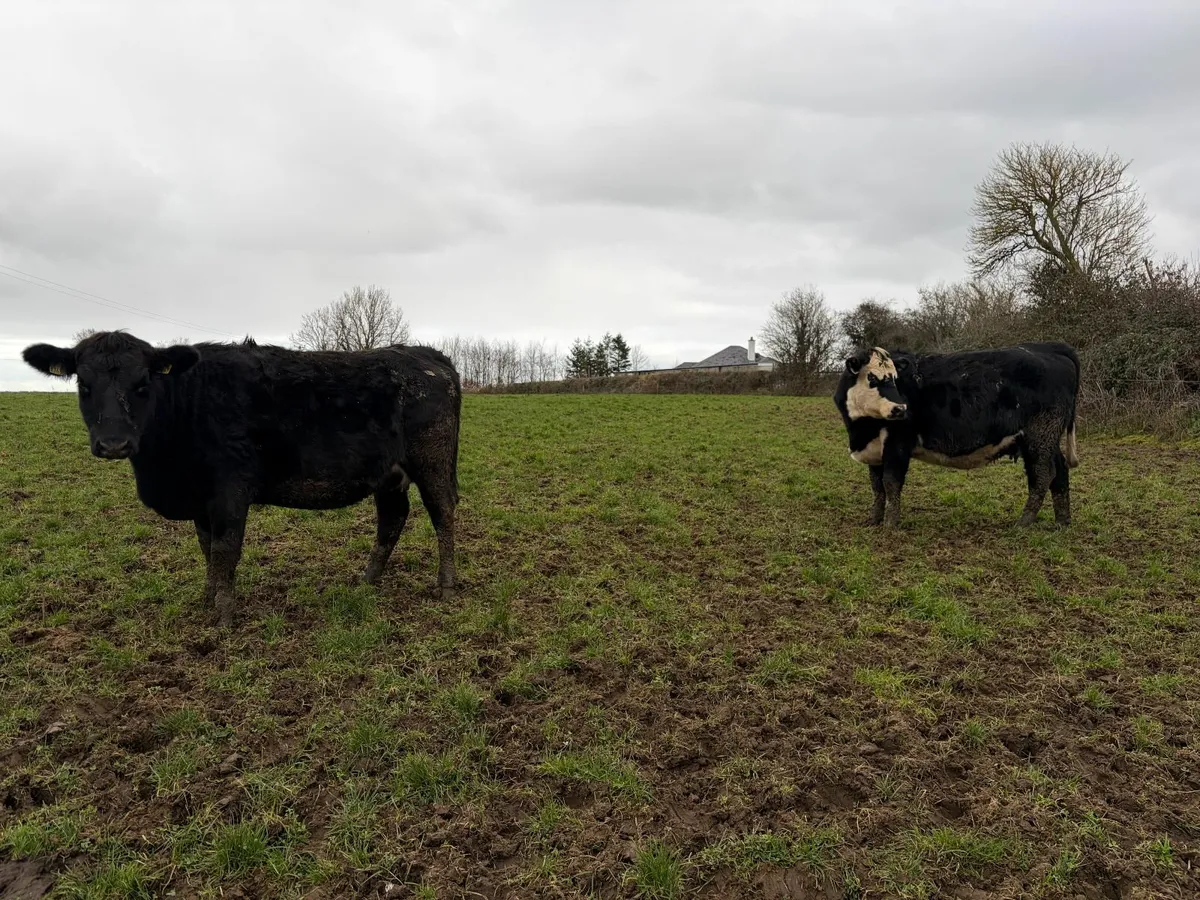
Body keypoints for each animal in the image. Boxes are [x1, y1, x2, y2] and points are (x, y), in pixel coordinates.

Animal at [23, 330, 461, 626]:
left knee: (443, 514)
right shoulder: (201, 499)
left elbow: (225, 549)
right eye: (84, 384)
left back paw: (446, 585)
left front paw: (223, 615)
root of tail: (423, 353)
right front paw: (207, 599)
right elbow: (206, 549)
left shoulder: (230, 490)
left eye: (143, 383)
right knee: (392, 519)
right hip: (387, 473)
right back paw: (367, 580)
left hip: (433, 461)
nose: (114, 443)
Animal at [833, 342, 1080, 528]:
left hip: (1040, 435)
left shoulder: (898, 445)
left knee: (1043, 474)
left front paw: (890, 524)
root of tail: (1047, 347)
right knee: (1059, 470)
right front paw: (874, 520)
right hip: (1045, 440)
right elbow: (877, 487)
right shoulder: (874, 452)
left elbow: (891, 483)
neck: (862, 430)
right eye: (872, 378)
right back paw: (1062, 521)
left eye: (894, 378)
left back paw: (1024, 522)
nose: (900, 409)